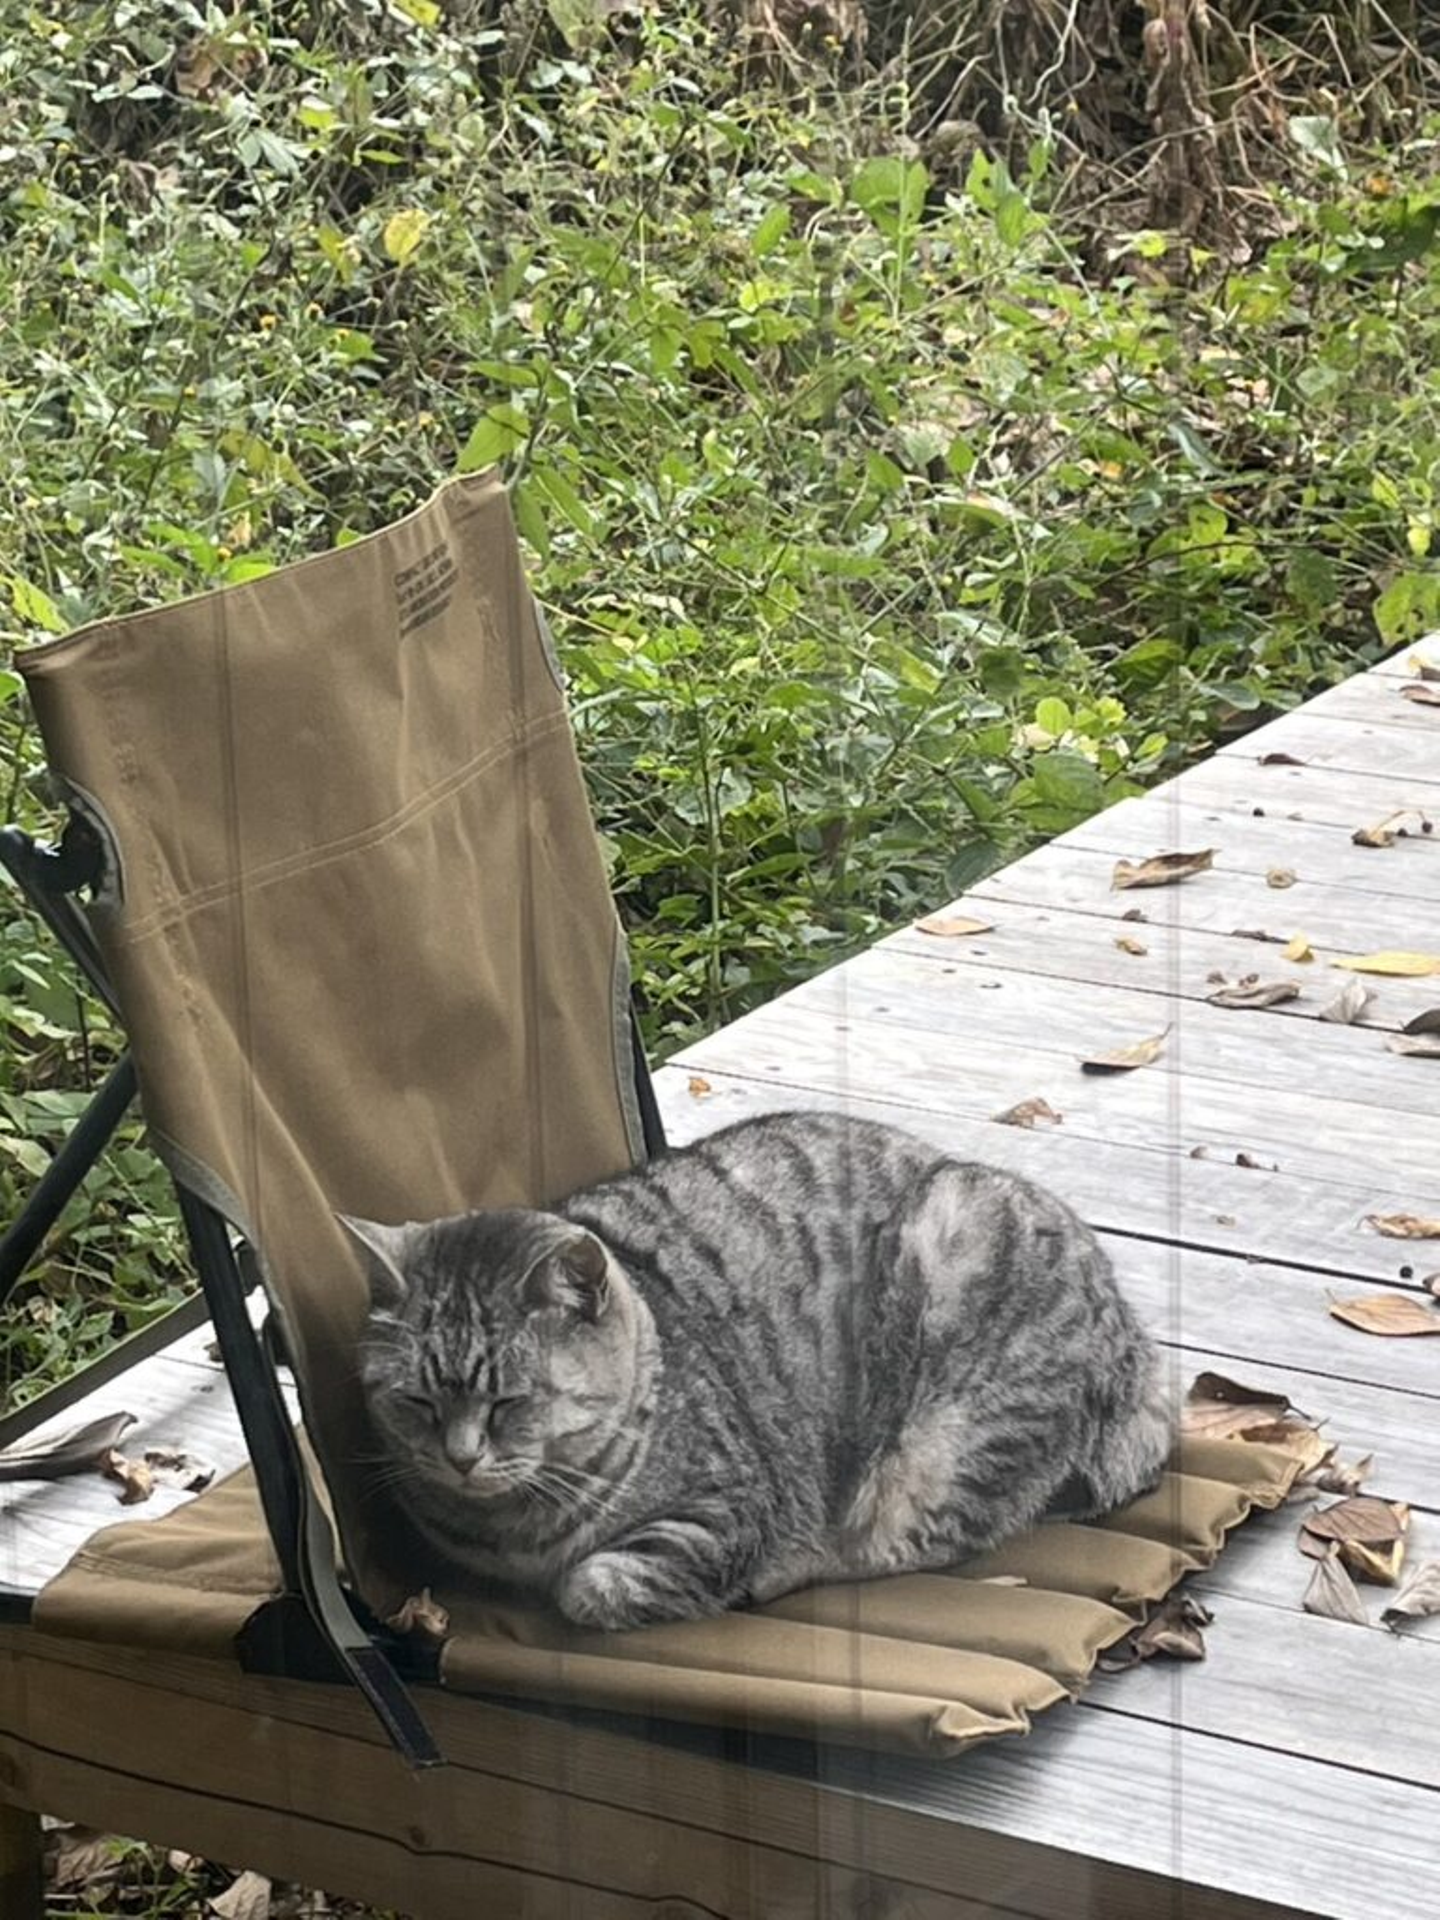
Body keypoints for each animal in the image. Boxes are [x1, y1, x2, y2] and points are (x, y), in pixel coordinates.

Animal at [346, 1110, 1171, 1633]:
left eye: (510, 1402)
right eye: (418, 1402)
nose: (460, 1458)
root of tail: (1134, 1347)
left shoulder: (727, 1510)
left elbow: (592, 1585)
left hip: (946, 1418)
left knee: (911, 1541)